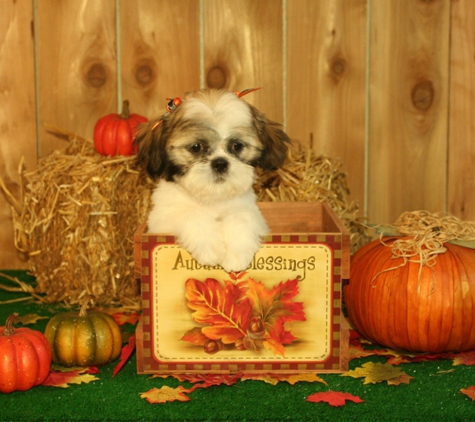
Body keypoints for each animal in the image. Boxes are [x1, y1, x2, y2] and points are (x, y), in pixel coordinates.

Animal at [134, 89, 290, 274]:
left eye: (237, 145)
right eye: (196, 147)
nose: (220, 163)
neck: (213, 199)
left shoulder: (250, 211)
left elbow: (242, 216)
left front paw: (236, 255)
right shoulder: (162, 219)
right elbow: (191, 214)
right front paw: (209, 248)